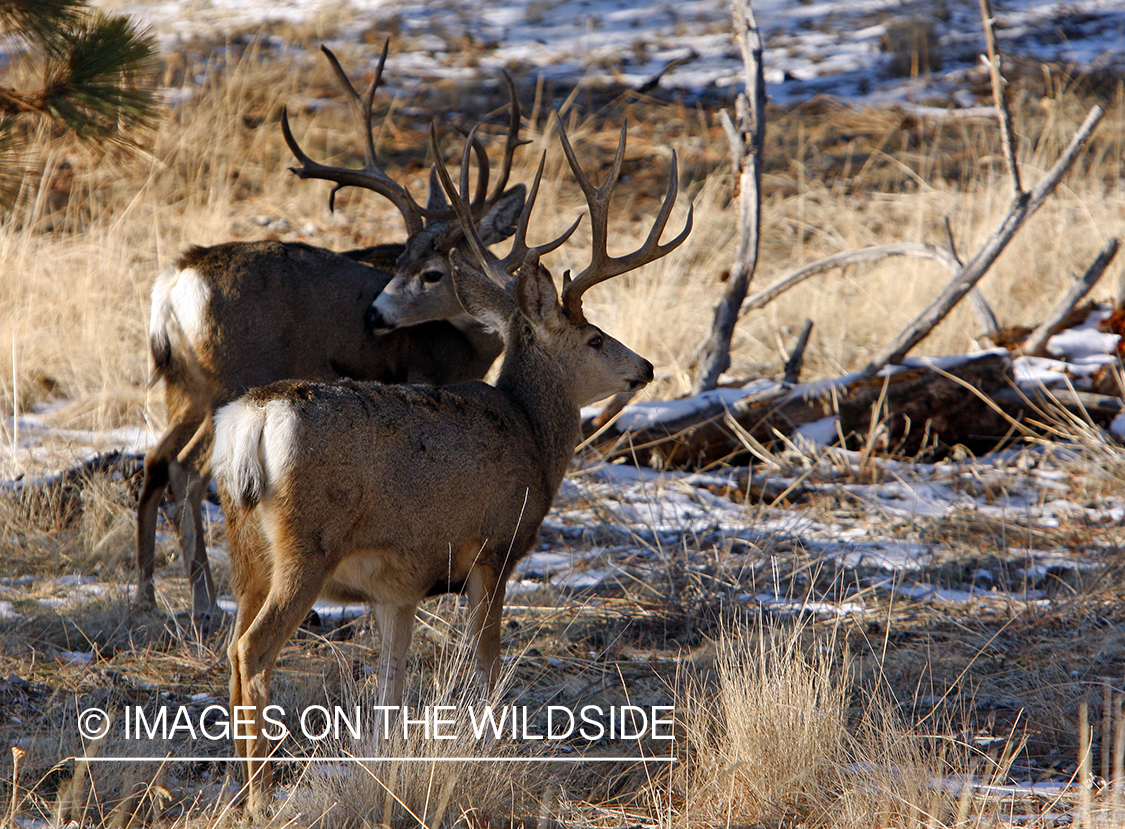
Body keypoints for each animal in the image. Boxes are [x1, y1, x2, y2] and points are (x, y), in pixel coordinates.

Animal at [136, 41, 537, 623]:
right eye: (410, 261)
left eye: (429, 269)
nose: (374, 317)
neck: (468, 342)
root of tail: (178, 278)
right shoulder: (419, 377)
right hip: (232, 375)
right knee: (188, 469)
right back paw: (205, 601)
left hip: (183, 385)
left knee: (155, 461)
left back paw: (146, 593)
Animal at [211, 115, 691, 811]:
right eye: (596, 337)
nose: (646, 367)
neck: (530, 432)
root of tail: (252, 418)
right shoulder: (494, 547)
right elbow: (485, 669)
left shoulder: (397, 586)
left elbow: (390, 689)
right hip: (308, 543)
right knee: (253, 650)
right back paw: (259, 795)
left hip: (244, 542)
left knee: (230, 647)